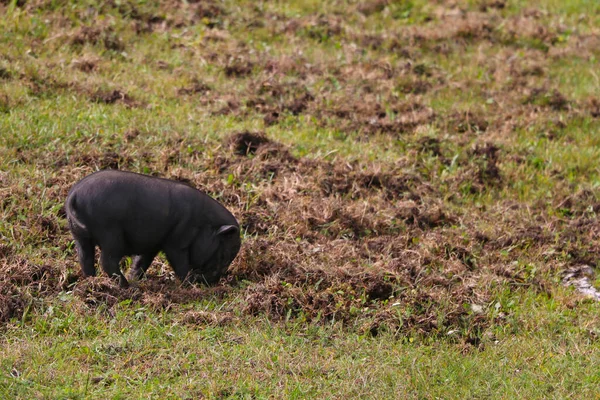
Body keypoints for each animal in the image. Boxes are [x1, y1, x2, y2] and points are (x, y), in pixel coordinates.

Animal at [63, 170, 241, 286]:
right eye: (224, 255)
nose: (213, 283)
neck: (203, 224)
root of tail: (75, 196)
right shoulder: (177, 242)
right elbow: (180, 263)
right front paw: (188, 284)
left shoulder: (153, 245)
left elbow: (142, 262)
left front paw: (135, 277)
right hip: (110, 234)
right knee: (107, 261)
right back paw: (126, 286)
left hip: (79, 236)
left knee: (85, 258)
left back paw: (93, 281)